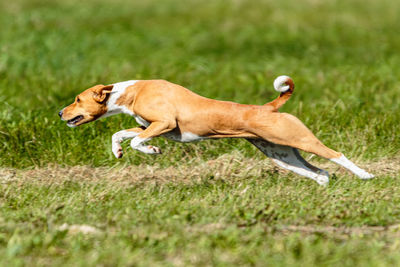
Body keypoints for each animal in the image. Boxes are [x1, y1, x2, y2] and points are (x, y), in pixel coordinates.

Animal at [57, 76, 374, 186]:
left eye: (77, 99)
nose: (60, 113)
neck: (133, 91)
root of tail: (269, 107)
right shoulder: (147, 126)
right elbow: (121, 135)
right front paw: (118, 151)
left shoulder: (164, 124)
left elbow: (138, 142)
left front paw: (152, 150)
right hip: (281, 154)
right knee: (320, 171)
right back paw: (321, 186)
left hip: (300, 139)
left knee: (336, 155)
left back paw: (365, 176)